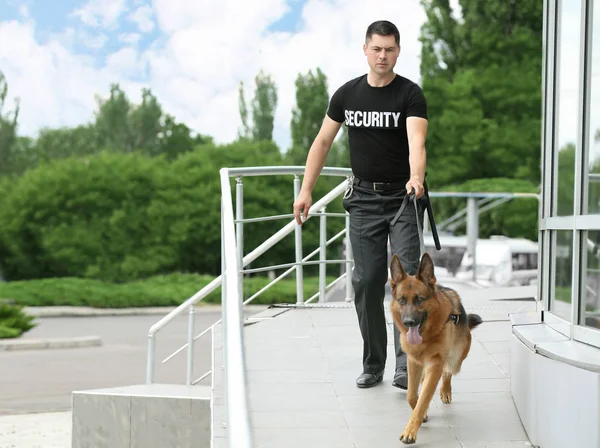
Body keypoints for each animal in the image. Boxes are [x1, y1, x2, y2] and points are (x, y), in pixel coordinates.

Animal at [390, 252, 482, 444]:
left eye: (419, 299)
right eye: (402, 300)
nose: (408, 322)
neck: (426, 335)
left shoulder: (435, 364)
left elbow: (424, 397)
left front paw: (410, 431)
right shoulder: (413, 362)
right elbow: (412, 396)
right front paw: (422, 413)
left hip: (455, 360)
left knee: (448, 371)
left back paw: (445, 390)